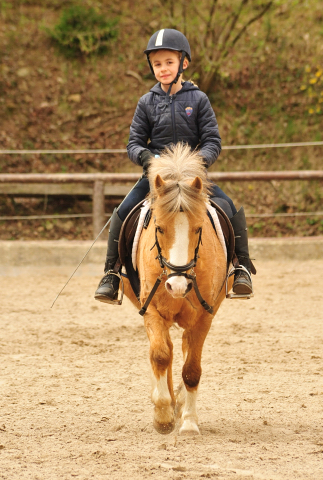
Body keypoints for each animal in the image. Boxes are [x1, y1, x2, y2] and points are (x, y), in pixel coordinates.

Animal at [123, 143, 232, 436]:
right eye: (159, 228)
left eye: (198, 229)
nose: (178, 285)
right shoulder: (151, 310)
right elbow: (160, 355)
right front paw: (162, 415)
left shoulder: (205, 315)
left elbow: (191, 369)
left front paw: (189, 422)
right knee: (166, 351)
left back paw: (181, 403)